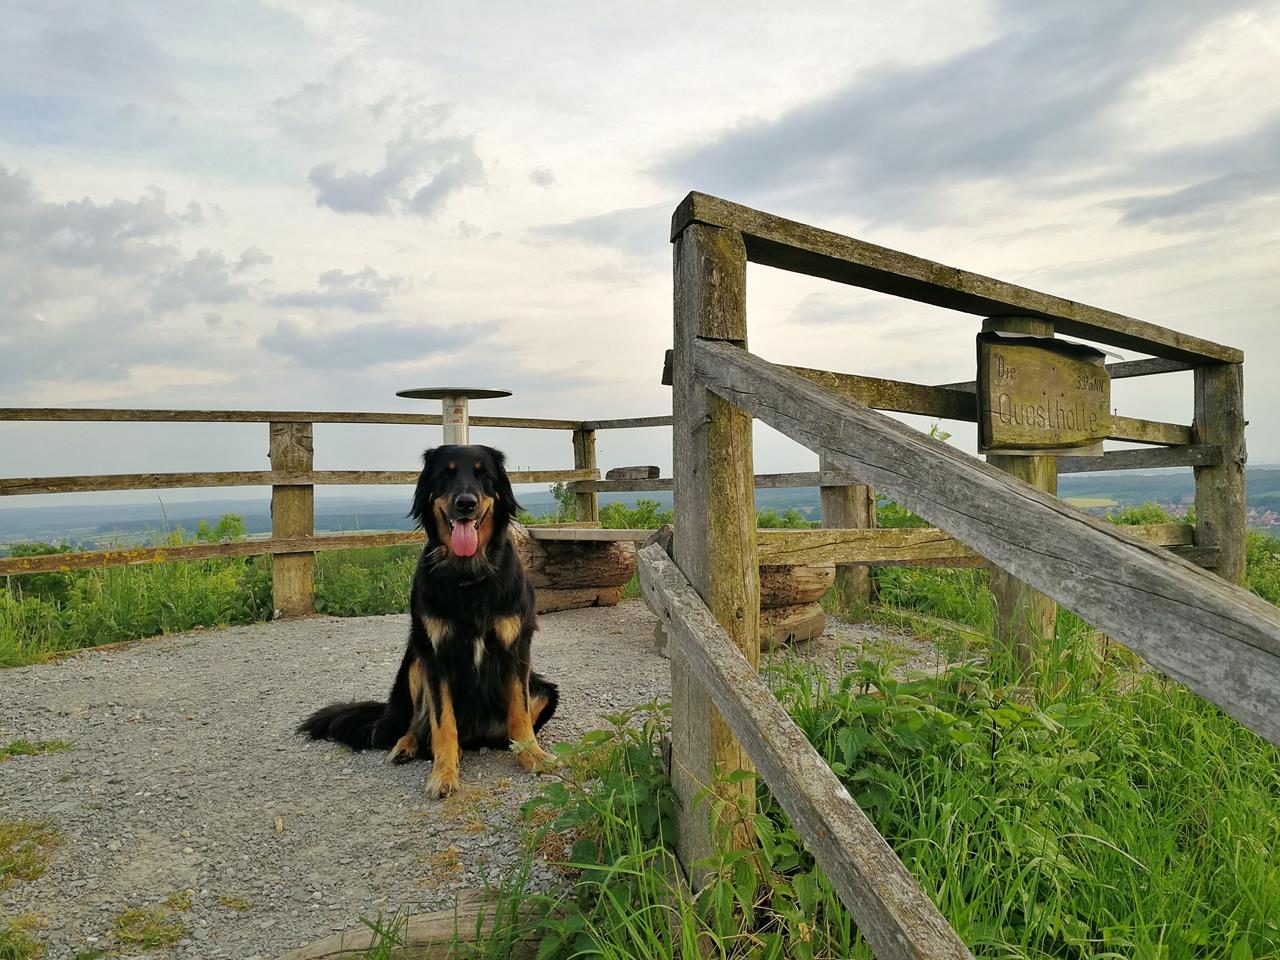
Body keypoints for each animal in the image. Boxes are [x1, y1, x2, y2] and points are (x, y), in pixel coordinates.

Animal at [302, 448, 563, 798]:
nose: (465, 503)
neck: (468, 575)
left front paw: (532, 755)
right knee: (417, 722)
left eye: (483, 475)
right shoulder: (435, 657)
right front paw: (444, 773)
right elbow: (443, 724)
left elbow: (519, 713)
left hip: (544, 689)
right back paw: (406, 746)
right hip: (415, 663)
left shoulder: (516, 649)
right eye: (445, 474)